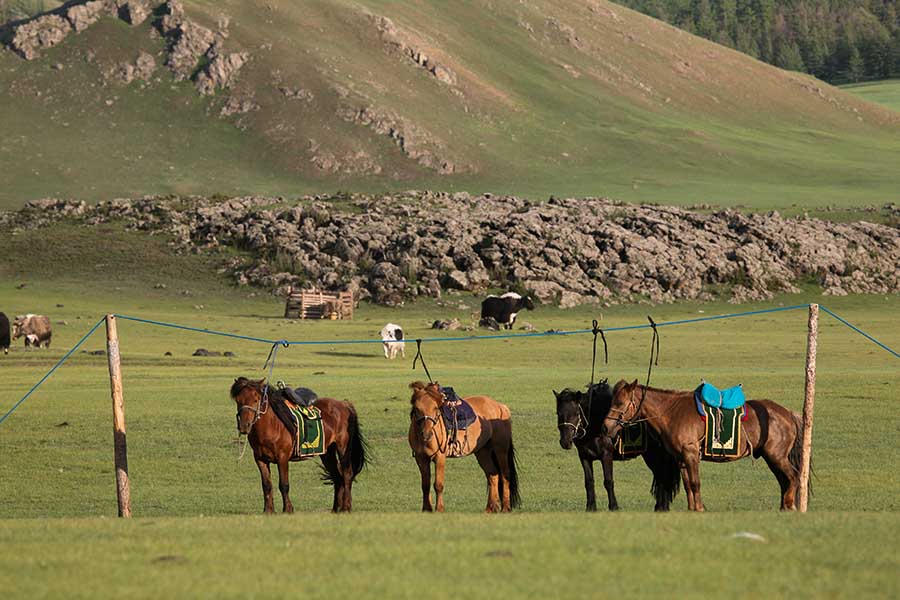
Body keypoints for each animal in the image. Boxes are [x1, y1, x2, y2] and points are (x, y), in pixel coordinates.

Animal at [230, 378, 368, 512]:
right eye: (238, 400)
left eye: (256, 400)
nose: (244, 426)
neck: (272, 424)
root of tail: (344, 404)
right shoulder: (260, 460)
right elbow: (267, 485)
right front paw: (268, 510)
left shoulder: (282, 458)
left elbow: (284, 485)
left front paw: (288, 509)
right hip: (327, 453)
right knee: (337, 477)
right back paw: (335, 509)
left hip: (342, 448)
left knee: (347, 474)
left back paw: (346, 507)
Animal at [408, 382, 520, 512]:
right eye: (417, 409)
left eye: (435, 408)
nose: (426, 434)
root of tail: (501, 407)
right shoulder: (421, 459)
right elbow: (425, 485)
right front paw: (426, 509)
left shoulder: (439, 457)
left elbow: (438, 484)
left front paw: (439, 508)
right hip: (483, 452)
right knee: (492, 475)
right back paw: (490, 508)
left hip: (500, 450)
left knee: (505, 475)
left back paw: (505, 507)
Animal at [548, 380, 684, 510]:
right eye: (558, 413)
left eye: (576, 413)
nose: (565, 442)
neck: (594, 423)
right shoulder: (584, 457)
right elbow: (589, 482)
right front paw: (591, 507)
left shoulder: (606, 455)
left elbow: (608, 481)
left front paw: (613, 506)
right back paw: (661, 506)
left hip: (657, 455)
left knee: (663, 477)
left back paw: (662, 506)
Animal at [600, 380, 804, 510]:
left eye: (620, 402)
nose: (605, 427)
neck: (671, 412)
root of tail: (788, 413)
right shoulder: (681, 458)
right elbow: (688, 485)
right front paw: (692, 508)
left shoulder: (691, 454)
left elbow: (695, 483)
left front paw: (699, 508)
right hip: (773, 458)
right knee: (784, 480)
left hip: (776, 457)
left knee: (794, 476)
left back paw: (789, 504)